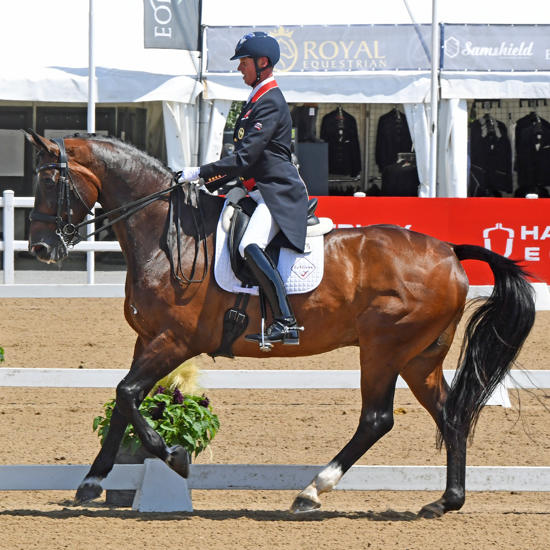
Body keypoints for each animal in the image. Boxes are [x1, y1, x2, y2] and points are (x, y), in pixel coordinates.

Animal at [27, 132, 540, 520]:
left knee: (377, 418)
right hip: (419, 356)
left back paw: (312, 491)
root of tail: (450, 250)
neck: (167, 238)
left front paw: (173, 457)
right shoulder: (147, 340)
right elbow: (122, 400)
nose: (40, 249)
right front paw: (92, 481)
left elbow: (128, 394)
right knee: (450, 415)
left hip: (383, 348)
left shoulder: (174, 341)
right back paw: (445, 501)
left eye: (51, 181)